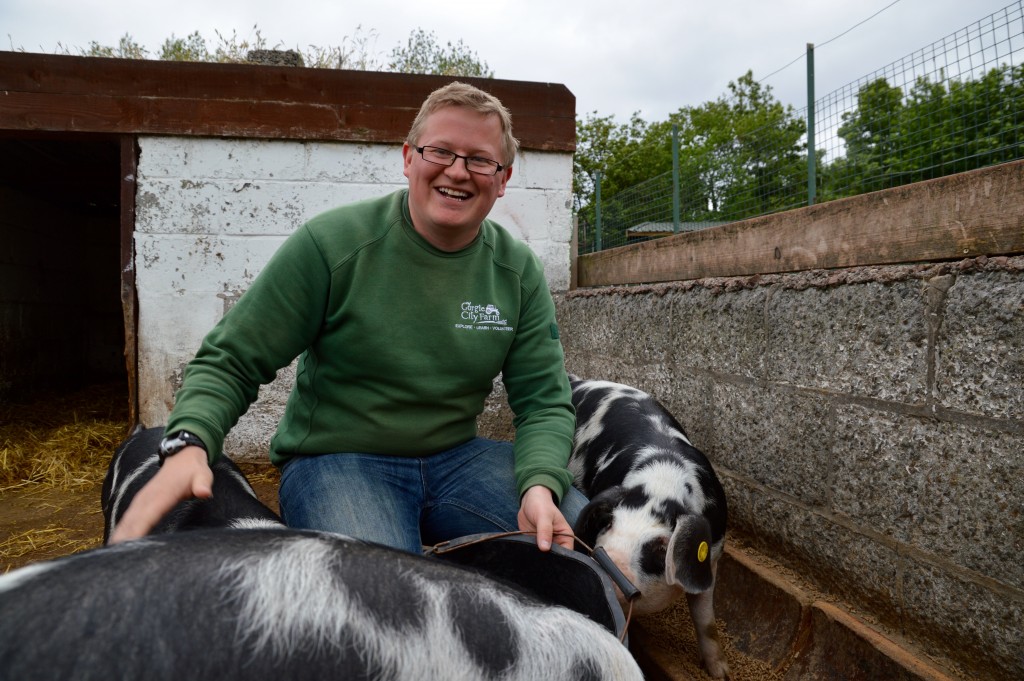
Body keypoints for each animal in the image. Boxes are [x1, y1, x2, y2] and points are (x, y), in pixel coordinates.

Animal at [569, 376, 729, 679]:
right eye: (608, 523)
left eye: (661, 548)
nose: (608, 565)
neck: (661, 483)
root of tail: (577, 382)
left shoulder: (712, 555)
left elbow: (706, 620)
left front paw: (720, 674)